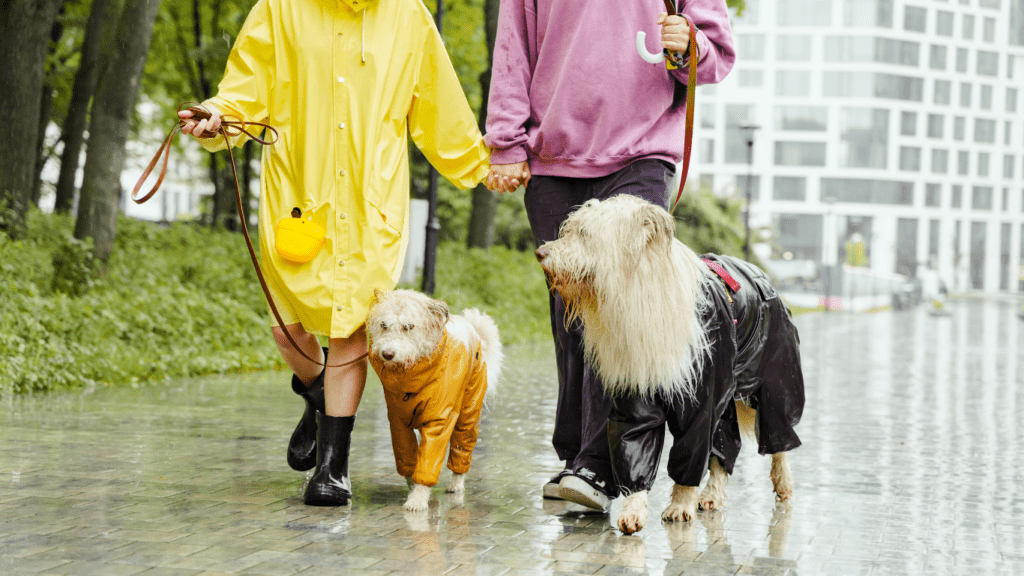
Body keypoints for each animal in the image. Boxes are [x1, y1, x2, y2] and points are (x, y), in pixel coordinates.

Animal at [366, 289, 501, 508]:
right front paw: (414, 488)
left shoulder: (439, 420)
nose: (387, 354)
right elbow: (408, 458)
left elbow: (430, 458)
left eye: (409, 326)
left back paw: (456, 483)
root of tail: (472, 327)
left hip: (468, 414)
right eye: (384, 325)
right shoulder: (398, 422)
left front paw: (417, 499)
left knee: (461, 448)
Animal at [532, 193, 802, 532]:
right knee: (725, 447)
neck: (639, 295)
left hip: (776, 376)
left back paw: (783, 482)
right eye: (569, 230)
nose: (540, 253)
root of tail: (760, 271)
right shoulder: (635, 387)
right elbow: (634, 444)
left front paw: (680, 504)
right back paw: (712, 494)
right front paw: (634, 509)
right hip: (728, 394)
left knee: (778, 436)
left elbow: (690, 452)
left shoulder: (702, 397)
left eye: (585, 234)